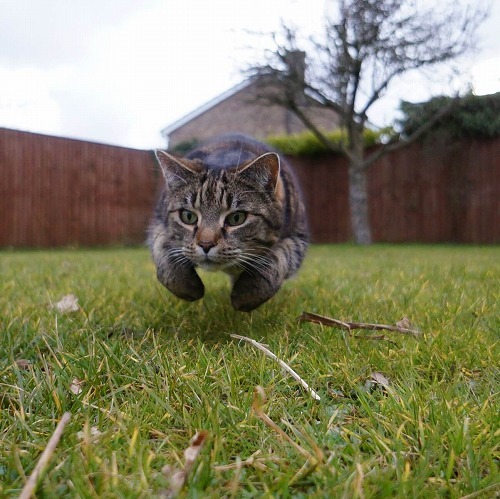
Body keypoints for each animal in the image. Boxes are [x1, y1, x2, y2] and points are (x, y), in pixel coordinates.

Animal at [147, 135, 308, 310]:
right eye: (188, 216)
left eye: (236, 218)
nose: (206, 244)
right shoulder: (157, 224)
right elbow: (163, 251)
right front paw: (185, 285)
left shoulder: (298, 238)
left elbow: (279, 258)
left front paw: (248, 294)